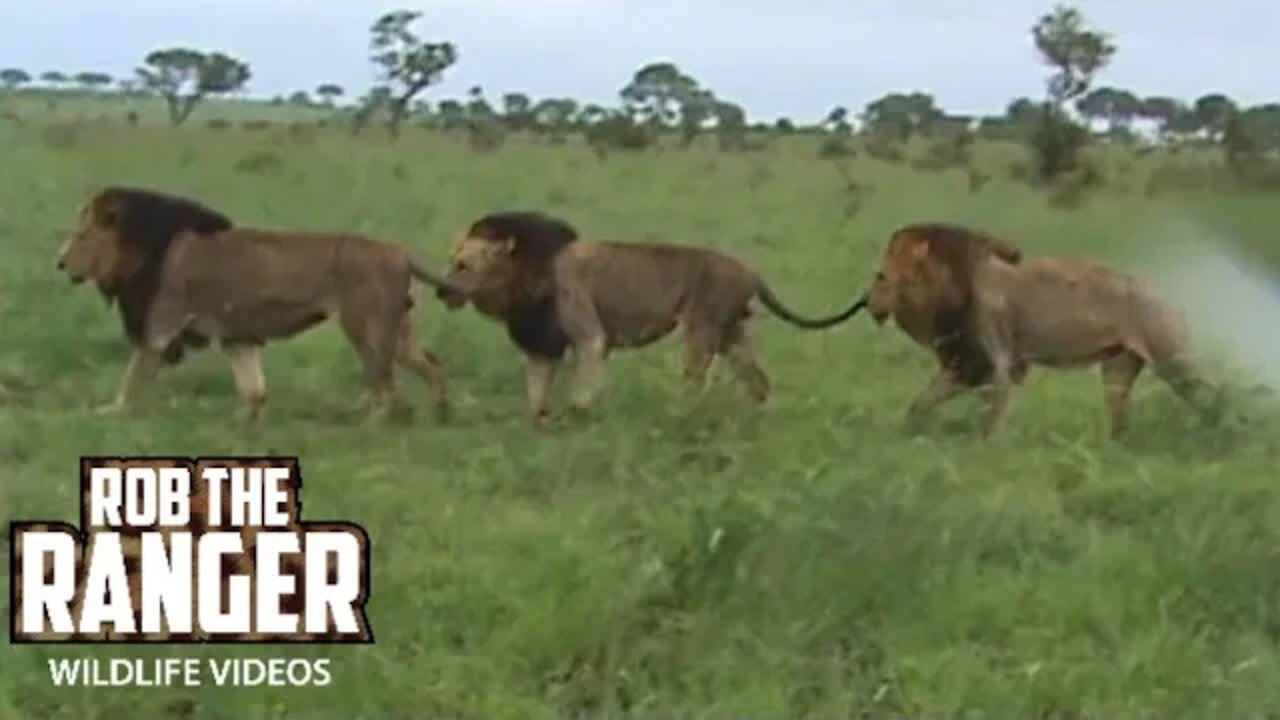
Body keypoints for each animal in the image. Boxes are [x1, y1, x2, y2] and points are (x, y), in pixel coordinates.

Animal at [56, 184, 465, 420]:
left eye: (82, 236)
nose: (59, 262)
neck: (145, 249)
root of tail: (401, 253)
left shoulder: (160, 325)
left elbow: (132, 380)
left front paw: (107, 412)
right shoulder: (237, 335)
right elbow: (253, 388)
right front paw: (246, 421)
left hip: (366, 327)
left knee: (388, 385)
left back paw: (377, 421)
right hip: (398, 331)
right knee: (430, 367)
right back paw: (439, 413)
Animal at [435, 207, 865, 420]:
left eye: (463, 265)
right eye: (452, 261)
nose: (440, 289)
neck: (523, 275)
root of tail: (750, 270)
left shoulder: (589, 335)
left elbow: (583, 384)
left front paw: (578, 416)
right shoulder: (541, 345)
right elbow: (537, 392)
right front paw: (540, 421)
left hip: (702, 327)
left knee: (695, 379)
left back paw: (679, 414)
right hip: (732, 334)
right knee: (757, 380)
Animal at [860, 222, 1218, 438]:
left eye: (880, 276)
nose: (867, 302)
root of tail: (1170, 300)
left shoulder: (999, 363)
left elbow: (990, 417)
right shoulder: (967, 363)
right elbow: (921, 402)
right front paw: (907, 433)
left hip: (1173, 359)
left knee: (1213, 395)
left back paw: (1223, 431)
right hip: (1118, 370)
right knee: (1121, 418)